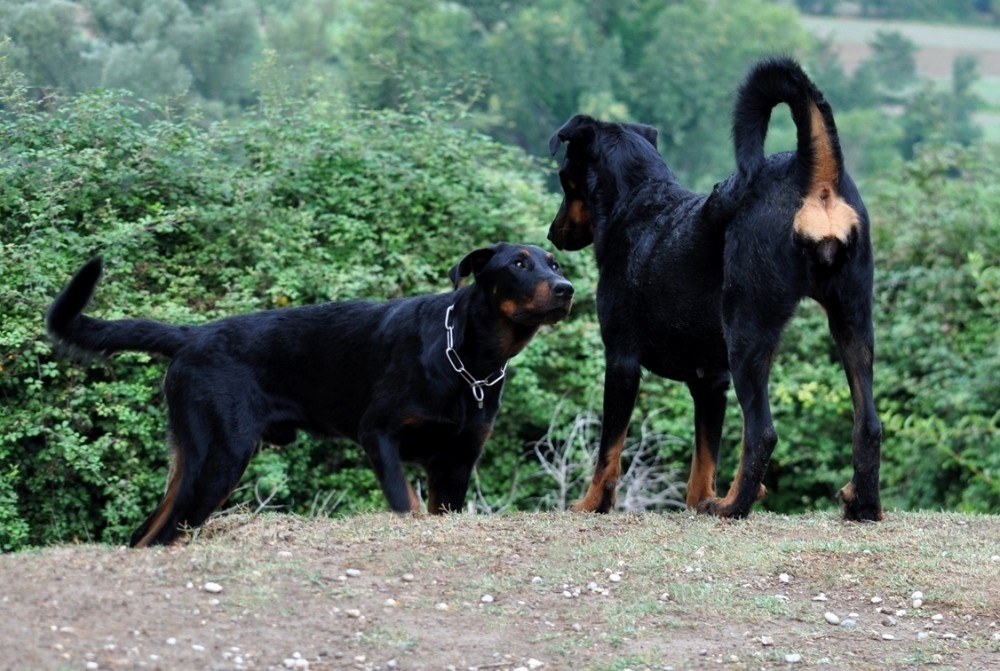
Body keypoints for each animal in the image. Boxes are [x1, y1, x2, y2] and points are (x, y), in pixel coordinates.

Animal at [47, 243, 576, 544]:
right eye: (519, 264)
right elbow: (405, 503)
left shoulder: (456, 464)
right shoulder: (378, 435)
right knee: (167, 532)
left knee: (146, 534)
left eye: (554, 262)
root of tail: (190, 336)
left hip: (195, 460)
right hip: (222, 458)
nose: (567, 288)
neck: (468, 360)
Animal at [548, 56, 884, 520]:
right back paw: (862, 504)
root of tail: (809, 172)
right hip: (853, 322)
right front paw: (697, 502)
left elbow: (609, 449)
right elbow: (703, 460)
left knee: (762, 432)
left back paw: (733, 506)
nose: (553, 232)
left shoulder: (621, 361)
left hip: (747, 333)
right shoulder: (710, 382)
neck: (638, 201)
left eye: (564, 179)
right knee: (868, 423)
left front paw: (591, 503)